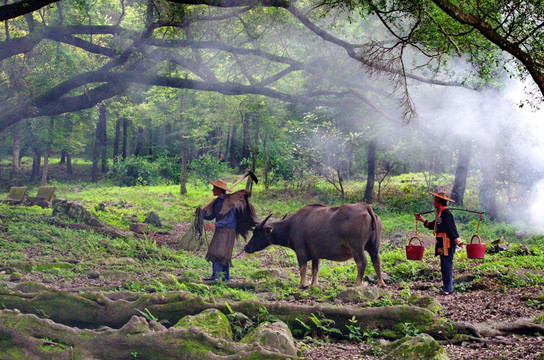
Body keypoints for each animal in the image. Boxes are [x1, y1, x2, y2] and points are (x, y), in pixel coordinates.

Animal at [244, 204, 384, 288]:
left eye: (256, 233)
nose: (246, 248)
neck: (291, 225)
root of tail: (366, 207)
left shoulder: (300, 250)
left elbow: (303, 267)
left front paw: (302, 284)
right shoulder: (316, 254)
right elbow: (315, 269)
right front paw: (314, 284)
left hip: (356, 248)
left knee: (362, 262)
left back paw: (357, 283)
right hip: (374, 247)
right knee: (376, 260)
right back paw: (381, 283)